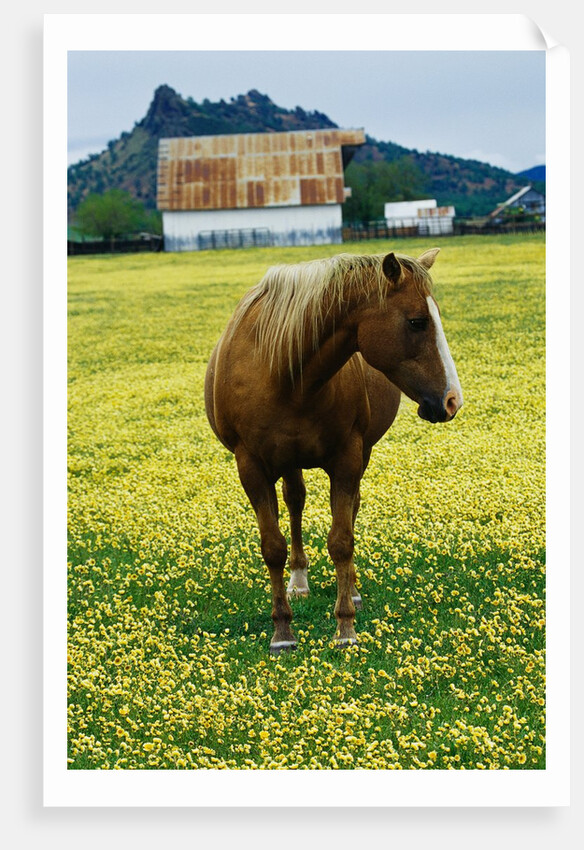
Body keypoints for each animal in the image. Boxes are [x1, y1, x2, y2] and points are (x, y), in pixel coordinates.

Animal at [204, 248, 463, 653]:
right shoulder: (250, 466)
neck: (285, 375)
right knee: (295, 502)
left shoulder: (347, 459)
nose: (452, 400)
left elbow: (342, 540)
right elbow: (272, 547)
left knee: (347, 508)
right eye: (417, 322)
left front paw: (345, 627)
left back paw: (350, 589)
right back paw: (298, 581)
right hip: (288, 462)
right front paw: (282, 631)